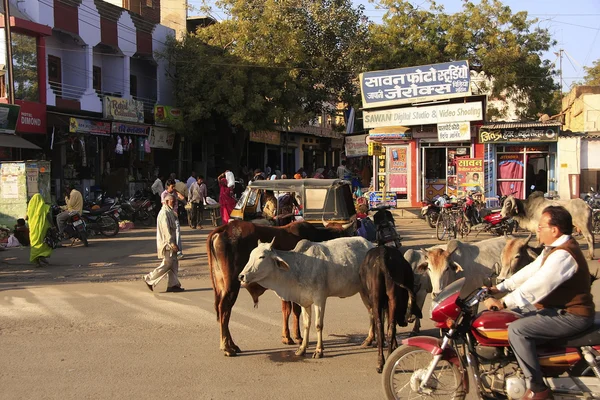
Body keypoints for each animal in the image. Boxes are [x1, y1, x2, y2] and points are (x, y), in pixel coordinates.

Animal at [207, 219, 354, 356]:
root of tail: (223, 229)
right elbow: (295, 311)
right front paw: (297, 337)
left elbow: (287, 310)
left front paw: (287, 336)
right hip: (232, 284)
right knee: (224, 309)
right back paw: (227, 347)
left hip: (221, 284)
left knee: (222, 310)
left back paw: (232, 345)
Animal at [237, 238, 372, 360]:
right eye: (250, 256)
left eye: (262, 257)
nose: (241, 276)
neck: (298, 266)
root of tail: (371, 244)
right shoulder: (304, 302)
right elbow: (306, 324)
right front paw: (302, 348)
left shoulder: (320, 299)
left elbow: (318, 325)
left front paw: (319, 351)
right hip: (363, 292)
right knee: (371, 313)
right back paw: (370, 340)